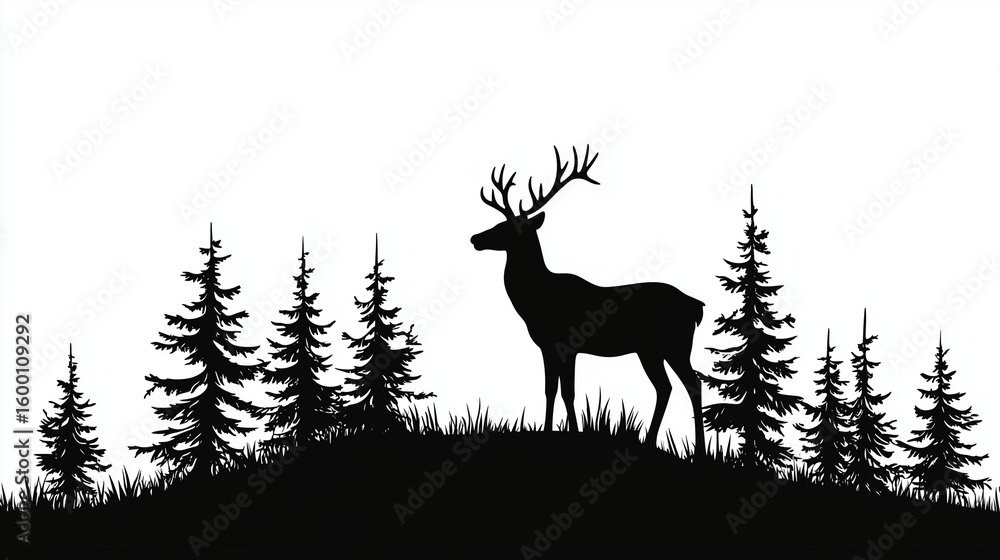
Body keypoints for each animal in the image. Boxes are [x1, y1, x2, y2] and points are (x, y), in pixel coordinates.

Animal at [470, 145, 706, 456]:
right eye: (498, 222)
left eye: (507, 227)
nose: (475, 238)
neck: (535, 300)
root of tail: (696, 306)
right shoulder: (548, 346)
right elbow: (552, 390)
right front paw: (550, 432)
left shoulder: (567, 343)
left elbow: (567, 392)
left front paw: (571, 434)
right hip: (650, 350)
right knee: (665, 387)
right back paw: (650, 442)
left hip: (675, 344)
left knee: (693, 383)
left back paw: (699, 450)